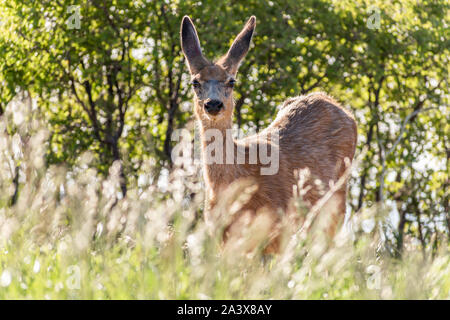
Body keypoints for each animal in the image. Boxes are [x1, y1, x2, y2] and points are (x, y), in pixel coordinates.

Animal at [178, 15, 356, 252]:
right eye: (195, 82)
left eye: (231, 81)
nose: (213, 104)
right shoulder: (220, 234)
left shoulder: (278, 225)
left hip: (336, 198)